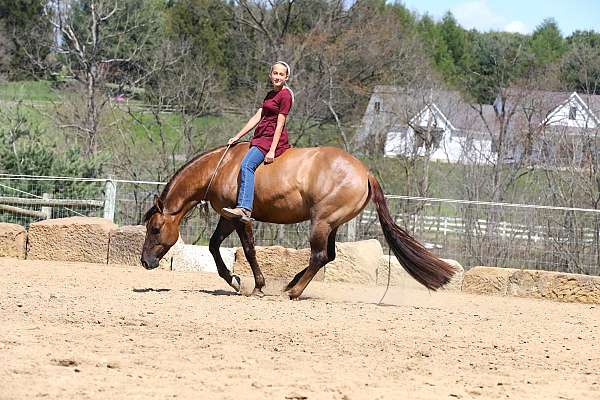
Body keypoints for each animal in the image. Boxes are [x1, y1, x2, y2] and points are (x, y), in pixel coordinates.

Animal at [141, 142, 454, 298]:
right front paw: (233, 280)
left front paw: (258, 285)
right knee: (328, 256)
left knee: (319, 256)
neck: (223, 167)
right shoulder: (227, 218)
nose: (145, 262)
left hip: (322, 221)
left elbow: (249, 250)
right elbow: (214, 246)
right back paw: (291, 284)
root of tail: (365, 173)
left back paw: (293, 291)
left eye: (155, 229)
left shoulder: (241, 219)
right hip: (331, 224)